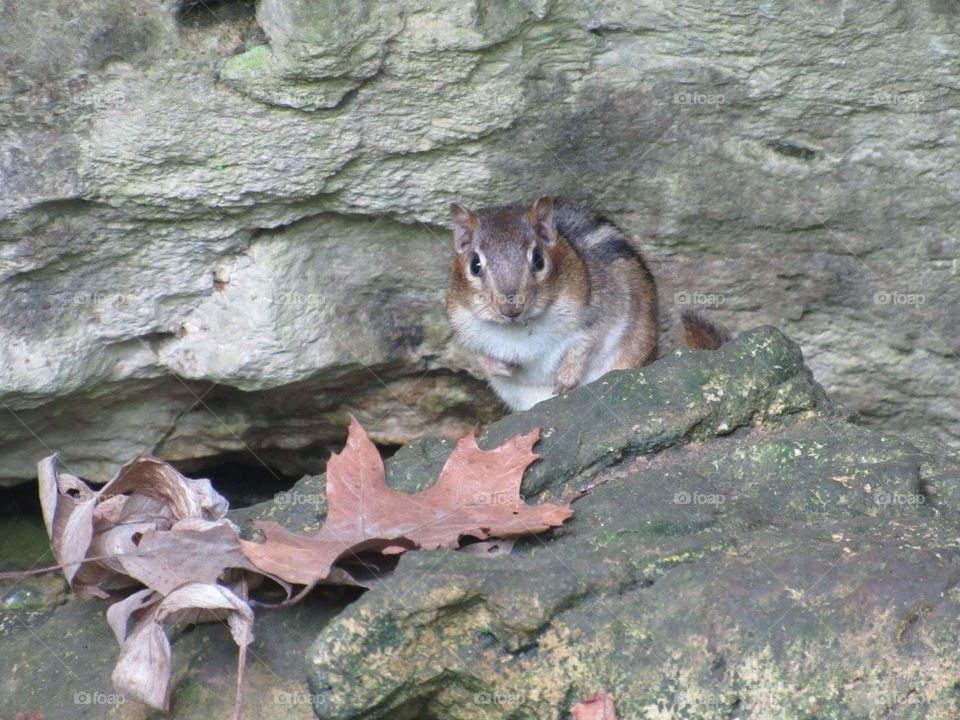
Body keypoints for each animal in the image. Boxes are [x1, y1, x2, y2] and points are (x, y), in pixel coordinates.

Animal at [446, 196, 729, 412]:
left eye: (538, 260)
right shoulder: (465, 327)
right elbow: (477, 354)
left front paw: (566, 376)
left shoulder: (603, 307)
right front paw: (499, 367)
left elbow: (587, 341)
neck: (520, 329)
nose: (511, 309)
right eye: (475, 265)